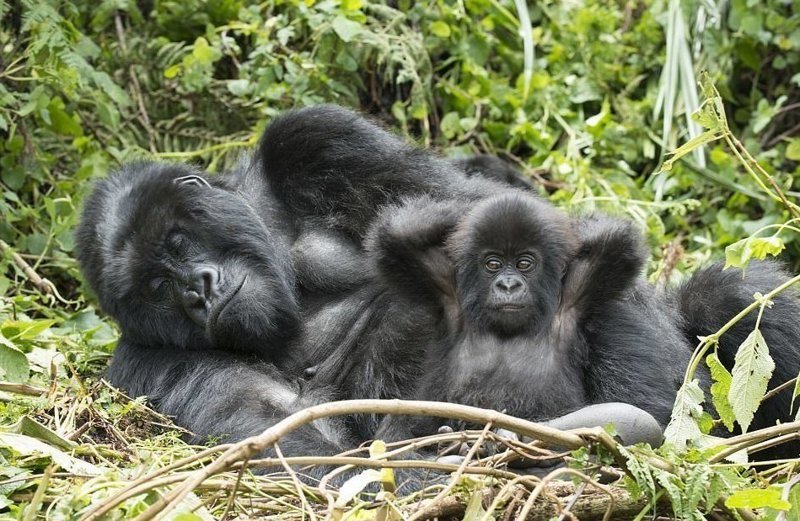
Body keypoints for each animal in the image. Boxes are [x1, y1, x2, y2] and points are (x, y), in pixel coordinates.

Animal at [368, 191, 688, 438]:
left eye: (524, 264)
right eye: (493, 264)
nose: (508, 285)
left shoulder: (577, 293)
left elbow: (617, 242)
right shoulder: (447, 290)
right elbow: (400, 235)